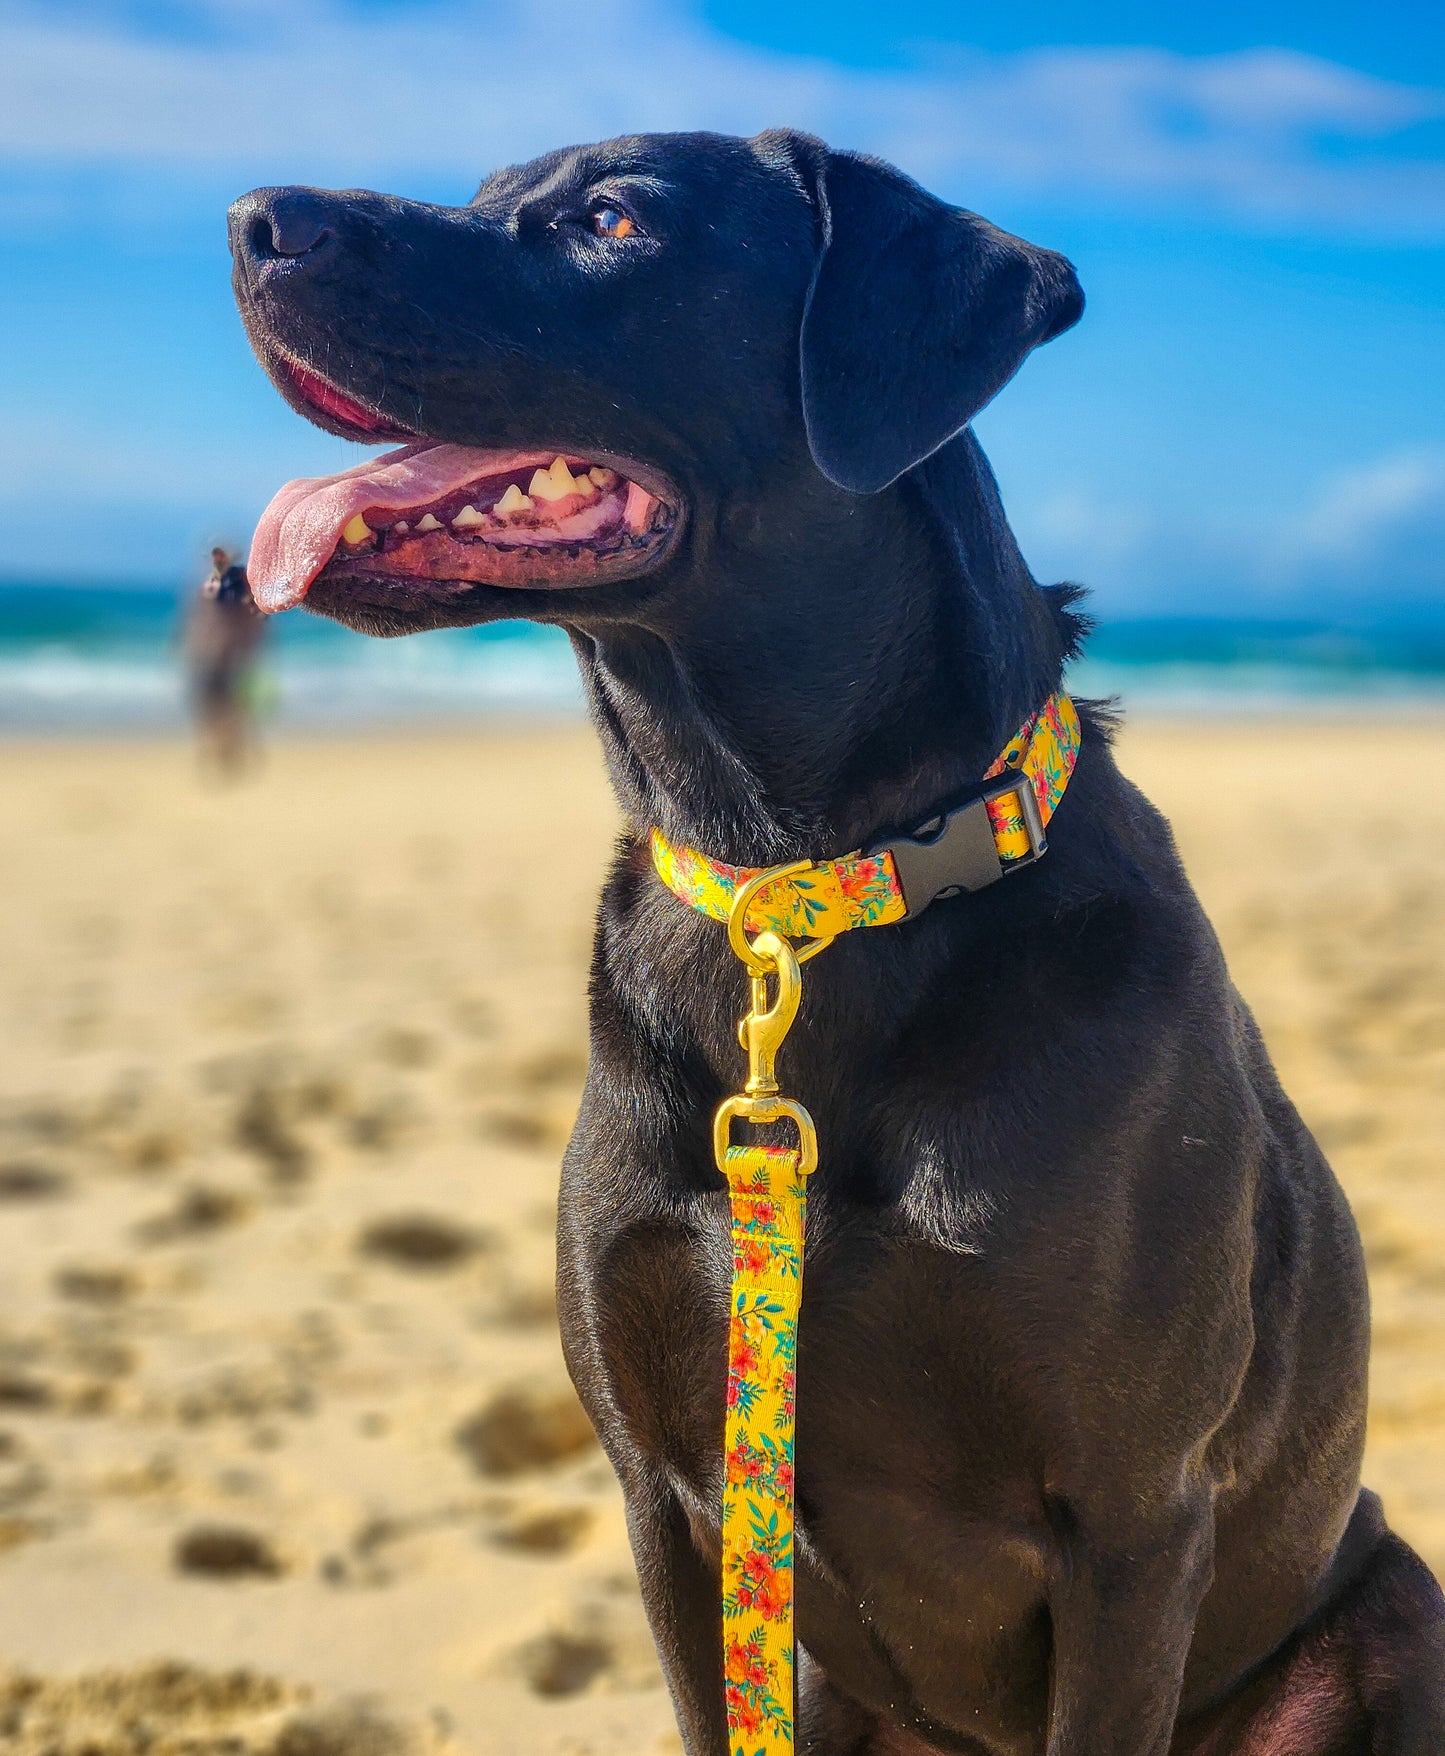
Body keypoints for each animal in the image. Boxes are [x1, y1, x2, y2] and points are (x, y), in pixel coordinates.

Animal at [231, 127, 1439, 1756]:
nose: (252, 219)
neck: (799, 884)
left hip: (1388, 1603)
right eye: (485, 195)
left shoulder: (1133, 1519)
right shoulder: (670, 1498)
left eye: (612, 219)